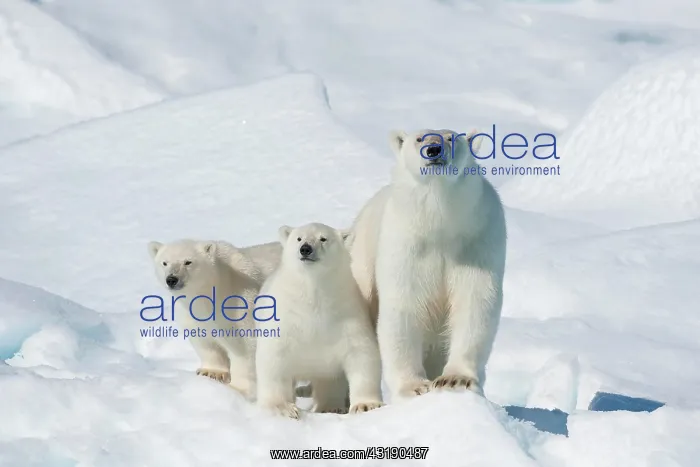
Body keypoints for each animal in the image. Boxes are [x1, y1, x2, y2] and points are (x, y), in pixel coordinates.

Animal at [147, 239, 282, 399]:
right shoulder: (191, 313)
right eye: (165, 263)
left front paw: (238, 389)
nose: (172, 279)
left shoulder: (240, 303)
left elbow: (245, 347)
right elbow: (205, 342)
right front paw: (211, 373)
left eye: (188, 262)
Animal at [254, 223, 384, 419]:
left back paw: (330, 406)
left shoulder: (347, 315)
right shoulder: (285, 319)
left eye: (323, 238)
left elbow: (362, 353)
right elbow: (273, 357)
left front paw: (366, 405)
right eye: (299, 238)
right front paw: (283, 407)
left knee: (329, 381)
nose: (306, 249)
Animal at [347, 128, 507, 401]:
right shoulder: (405, 244)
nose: (433, 150)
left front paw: (455, 379)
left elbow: (474, 301)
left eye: (451, 138)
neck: (439, 222)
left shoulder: (479, 239)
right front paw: (414, 386)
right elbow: (404, 306)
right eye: (420, 138)